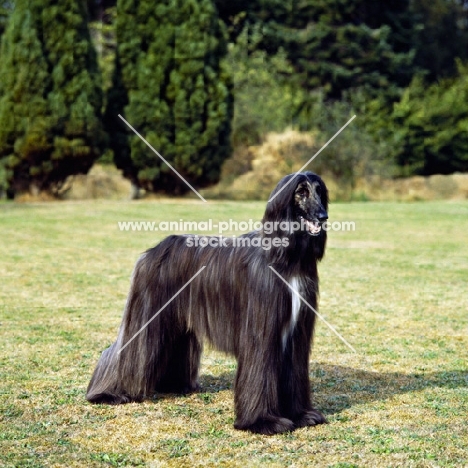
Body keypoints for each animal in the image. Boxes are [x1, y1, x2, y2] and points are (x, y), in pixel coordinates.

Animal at [88, 172, 330, 436]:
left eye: (320, 191)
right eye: (301, 192)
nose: (323, 216)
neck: (288, 256)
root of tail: (154, 250)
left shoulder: (297, 331)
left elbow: (295, 369)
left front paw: (301, 414)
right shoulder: (261, 329)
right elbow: (259, 369)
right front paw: (263, 421)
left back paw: (173, 385)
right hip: (148, 310)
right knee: (123, 350)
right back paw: (106, 393)